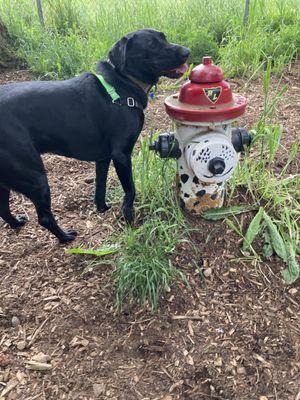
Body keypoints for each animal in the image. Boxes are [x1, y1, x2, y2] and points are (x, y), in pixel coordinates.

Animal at [0, 29, 189, 242]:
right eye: (151, 44)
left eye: (164, 38)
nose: (187, 51)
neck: (123, 85)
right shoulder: (121, 155)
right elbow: (130, 190)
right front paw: (128, 218)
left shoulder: (103, 159)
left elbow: (100, 186)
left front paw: (102, 208)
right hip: (35, 177)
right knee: (44, 218)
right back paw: (65, 237)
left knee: (3, 208)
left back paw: (17, 223)